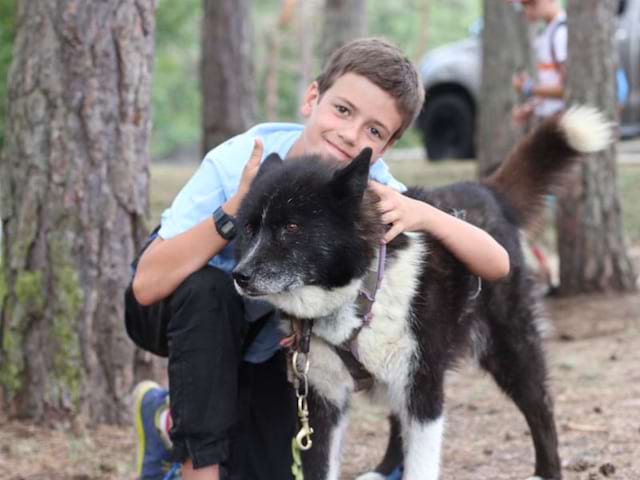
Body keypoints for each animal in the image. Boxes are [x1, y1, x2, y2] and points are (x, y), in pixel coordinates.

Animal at [232, 109, 612, 480]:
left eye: (291, 228)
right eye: (249, 228)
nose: (240, 276)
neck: (362, 291)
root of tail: (484, 190)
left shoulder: (424, 388)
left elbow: (421, 462)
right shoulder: (322, 401)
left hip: (509, 347)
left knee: (540, 406)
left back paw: (547, 471)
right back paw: (382, 470)